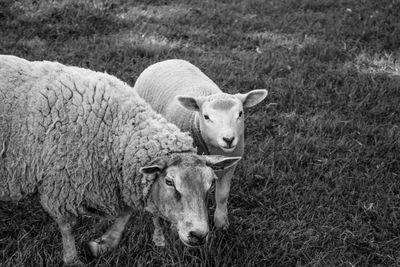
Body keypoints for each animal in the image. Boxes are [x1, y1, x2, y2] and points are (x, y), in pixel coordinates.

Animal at [0, 55, 241, 266]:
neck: (116, 131)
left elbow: (126, 213)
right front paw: (72, 259)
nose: (199, 235)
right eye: (169, 182)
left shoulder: (124, 177)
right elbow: (67, 225)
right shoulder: (62, 184)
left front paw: (101, 245)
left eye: (210, 185)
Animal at [134, 59, 268, 230]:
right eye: (206, 117)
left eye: (240, 113)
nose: (228, 139)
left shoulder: (230, 166)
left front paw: (221, 222)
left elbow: (223, 195)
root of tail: (166, 61)